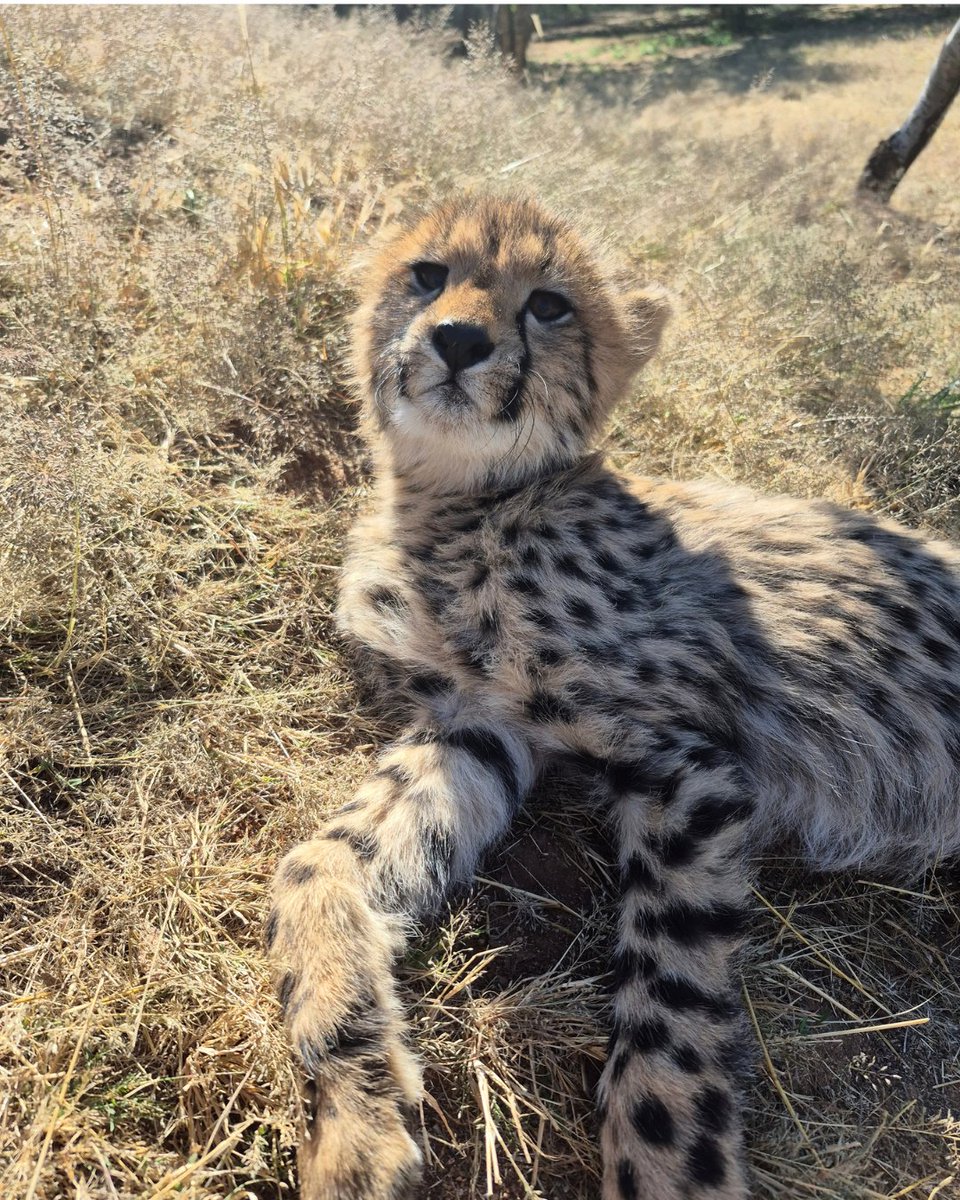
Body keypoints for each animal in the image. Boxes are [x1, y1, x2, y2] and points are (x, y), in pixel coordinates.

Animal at [267, 193, 960, 1200]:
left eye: (550, 305)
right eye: (429, 275)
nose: (458, 339)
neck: (459, 499)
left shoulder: (690, 768)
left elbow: (669, 987)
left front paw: (671, 1161)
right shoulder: (480, 724)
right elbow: (317, 860)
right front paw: (352, 1110)